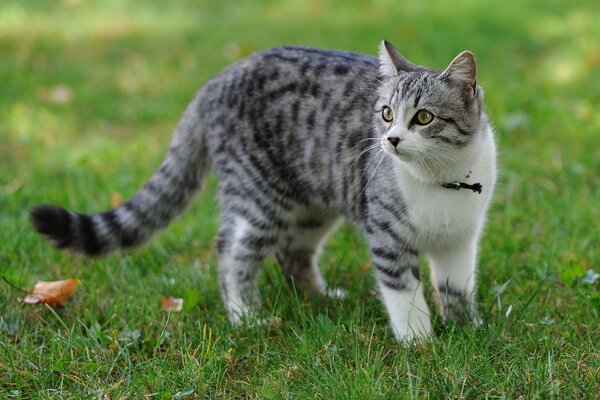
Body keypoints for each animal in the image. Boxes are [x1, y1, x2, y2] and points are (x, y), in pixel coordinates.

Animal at [29, 39, 496, 340]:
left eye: (423, 117)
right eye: (385, 114)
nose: (391, 140)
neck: (441, 180)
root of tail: (218, 78)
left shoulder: (461, 240)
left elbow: (456, 287)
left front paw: (465, 328)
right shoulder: (387, 237)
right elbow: (404, 293)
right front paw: (419, 341)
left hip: (311, 202)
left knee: (292, 251)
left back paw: (319, 297)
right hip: (257, 195)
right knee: (232, 249)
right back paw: (245, 317)